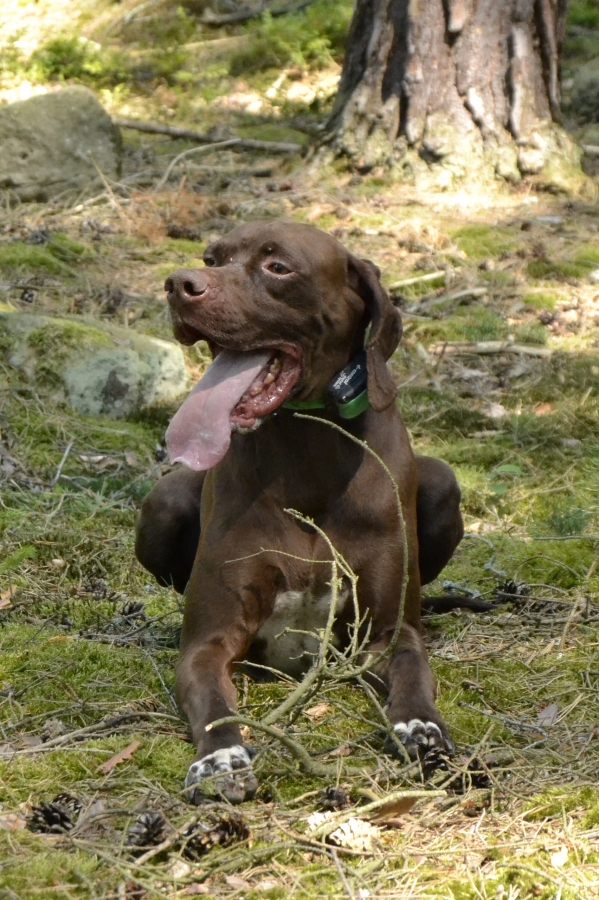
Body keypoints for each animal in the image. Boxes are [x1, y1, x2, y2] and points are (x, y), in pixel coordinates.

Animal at [135, 220, 464, 803]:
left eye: (278, 267)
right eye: (211, 258)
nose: (178, 283)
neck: (308, 447)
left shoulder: (388, 632)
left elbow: (411, 671)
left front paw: (422, 729)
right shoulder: (207, 643)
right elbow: (215, 707)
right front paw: (220, 760)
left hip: (444, 485)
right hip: (164, 500)